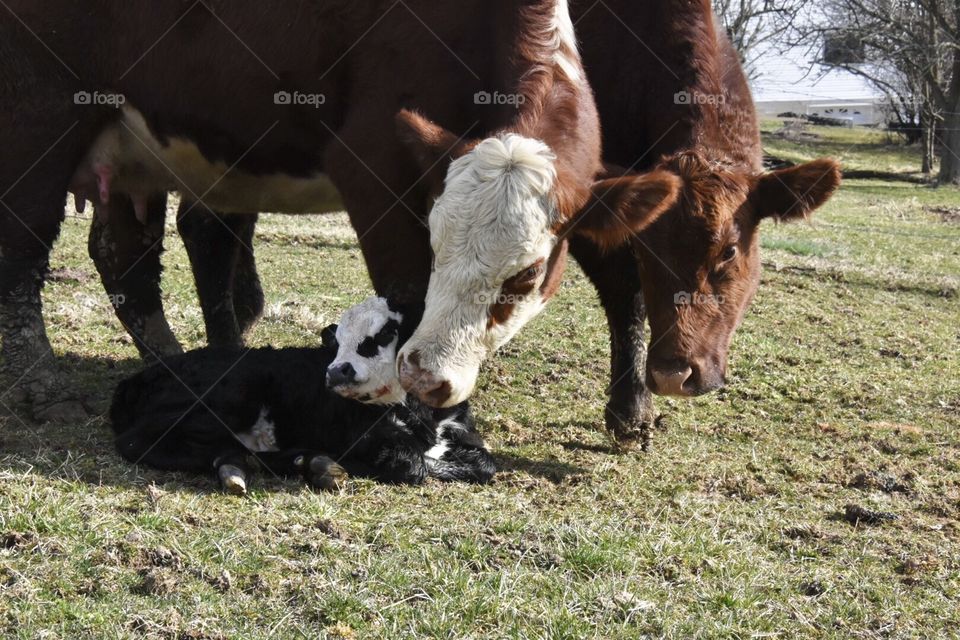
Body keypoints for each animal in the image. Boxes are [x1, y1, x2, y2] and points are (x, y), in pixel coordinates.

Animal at [109, 298, 496, 492]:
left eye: (386, 333)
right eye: (338, 341)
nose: (335, 373)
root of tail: (135, 378)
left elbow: (485, 464)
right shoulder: (366, 437)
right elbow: (411, 465)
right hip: (233, 394)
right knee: (136, 442)